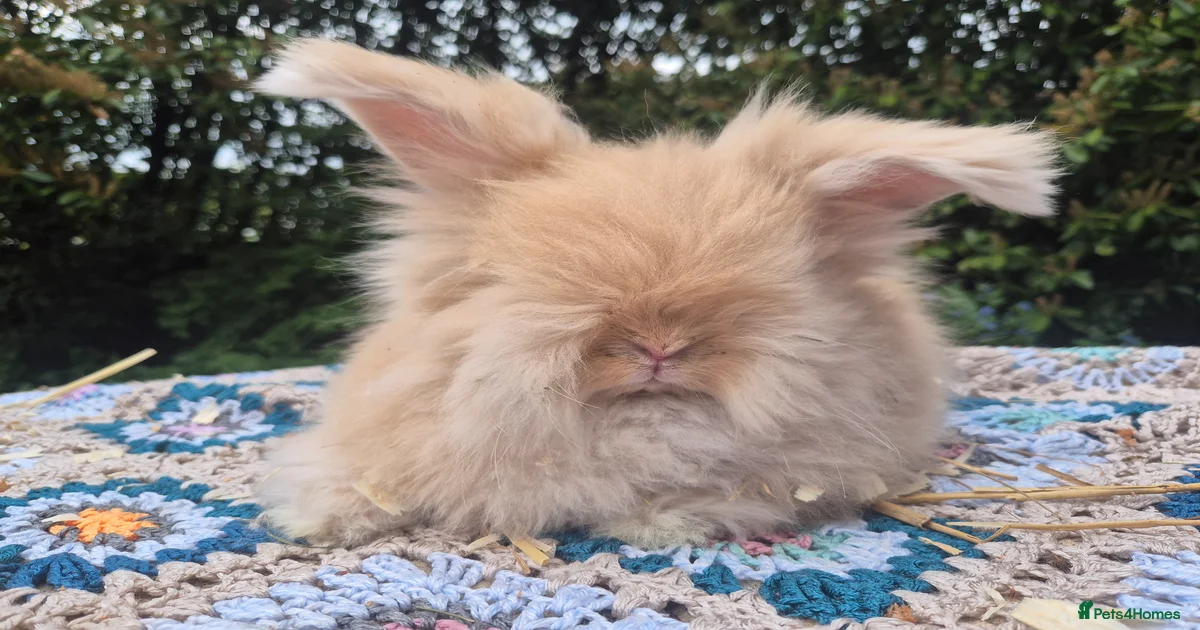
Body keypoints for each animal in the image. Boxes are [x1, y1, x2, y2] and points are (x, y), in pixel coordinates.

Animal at [252, 38, 1060, 547]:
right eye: (519, 280)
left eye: (776, 285)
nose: (659, 346)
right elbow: (357, 481)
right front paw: (318, 520)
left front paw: (657, 523)